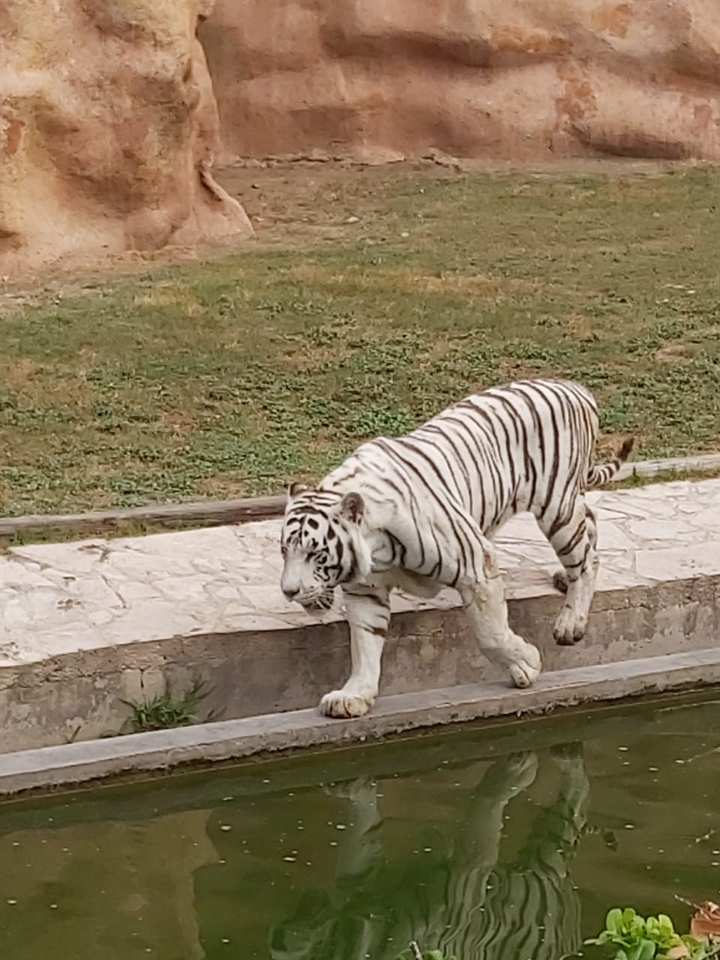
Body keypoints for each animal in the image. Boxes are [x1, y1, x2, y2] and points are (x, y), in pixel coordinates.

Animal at [280, 378, 634, 719]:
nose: (289, 591)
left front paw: (526, 665)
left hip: (557, 506)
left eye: (315, 554)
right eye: (285, 551)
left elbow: (490, 632)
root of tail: (576, 388)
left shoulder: (476, 564)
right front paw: (353, 696)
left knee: (586, 559)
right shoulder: (365, 592)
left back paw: (570, 623)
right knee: (591, 521)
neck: (376, 549)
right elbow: (365, 645)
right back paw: (563, 578)